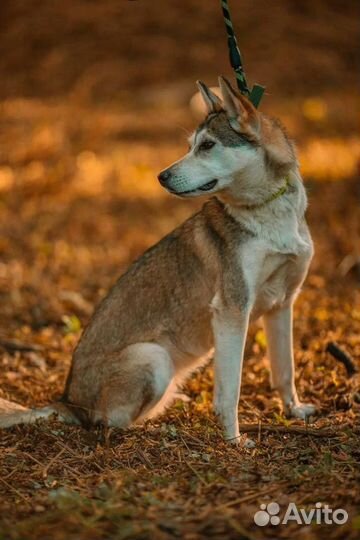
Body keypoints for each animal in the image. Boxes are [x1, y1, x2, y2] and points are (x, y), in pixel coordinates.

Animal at [0, 77, 316, 442]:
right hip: (154, 357)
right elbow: (230, 391)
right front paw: (234, 440)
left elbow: (285, 371)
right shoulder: (232, 310)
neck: (268, 212)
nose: (161, 176)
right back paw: (164, 428)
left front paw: (294, 411)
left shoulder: (283, 303)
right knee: (109, 423)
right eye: (190, 145)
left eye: (207, 145)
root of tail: (68, 402)